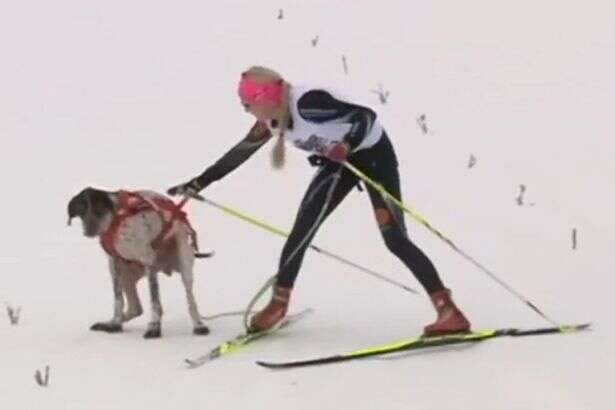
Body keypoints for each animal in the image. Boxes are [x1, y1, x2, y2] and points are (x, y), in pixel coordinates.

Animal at [67, 187, 212, 338]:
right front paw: (115, 324)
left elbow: (155, 302)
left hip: (183, 262)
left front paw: (154, 327)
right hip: (127, 274)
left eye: (99, 208)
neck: (117, 221)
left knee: (190, 300)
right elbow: (118, 301)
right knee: (135, 308)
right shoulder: (115, 264)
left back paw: (199, 325)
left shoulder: (148, 259)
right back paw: (113, 322)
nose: (89, 229)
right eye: (81, 210)